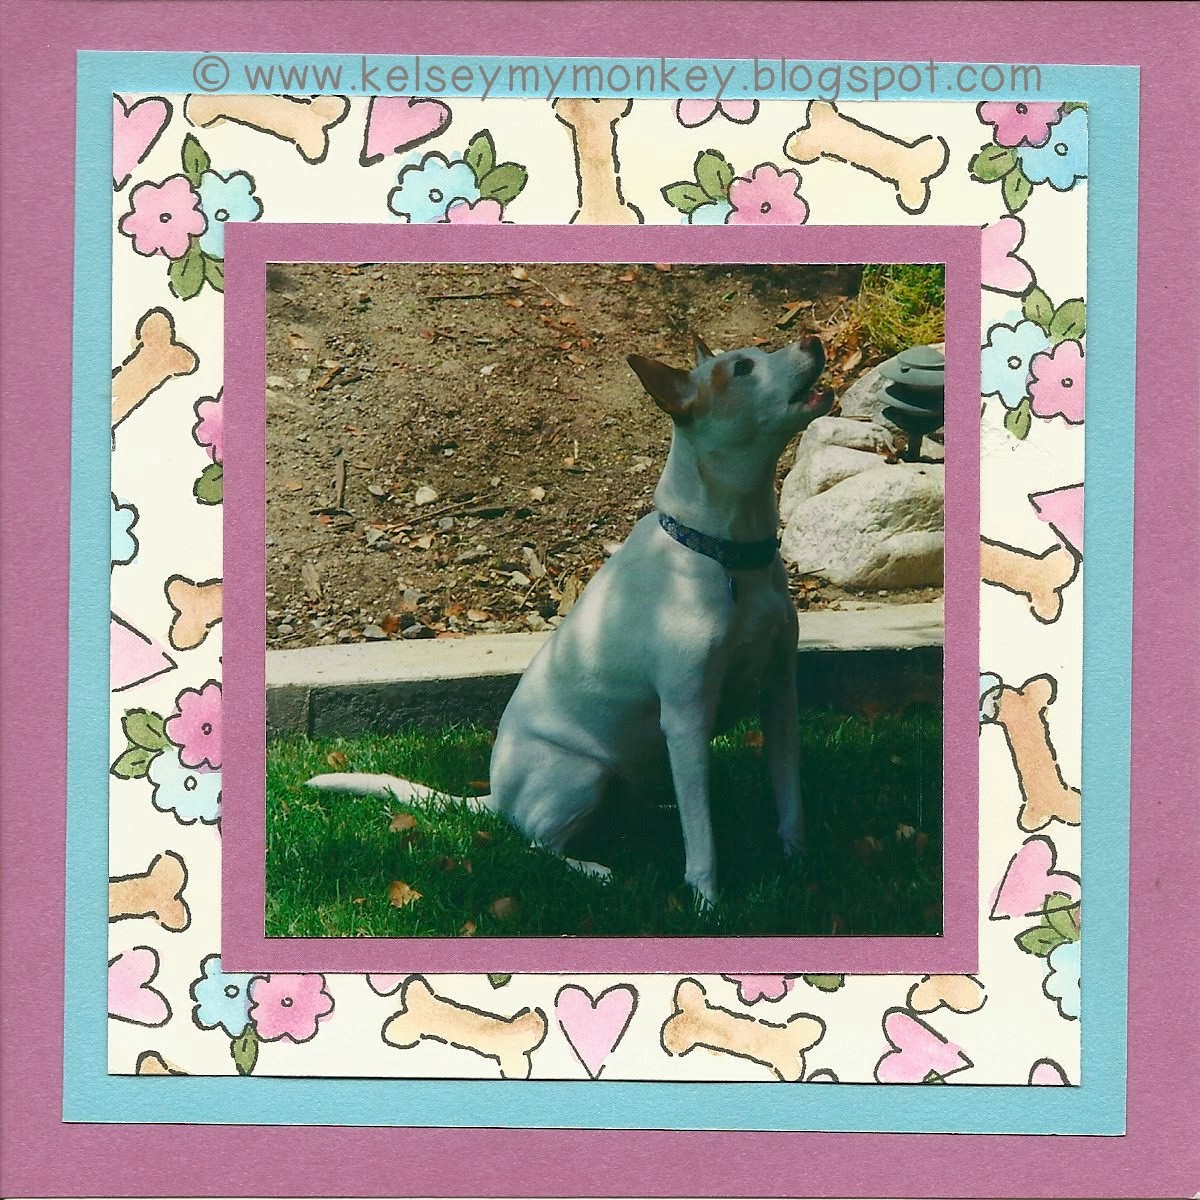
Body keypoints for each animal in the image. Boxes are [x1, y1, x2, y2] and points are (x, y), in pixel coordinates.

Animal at [307, 333, 831, 907]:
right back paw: (596, 868)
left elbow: (790, 797)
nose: (813, 339)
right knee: (539, 844)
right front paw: (708, 904)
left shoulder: (779, 694)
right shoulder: (687, 717)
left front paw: (801, 863)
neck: (723, 553)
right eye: (742, 369)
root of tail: (496, 797)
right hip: (581, 771)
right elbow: (703, 840)